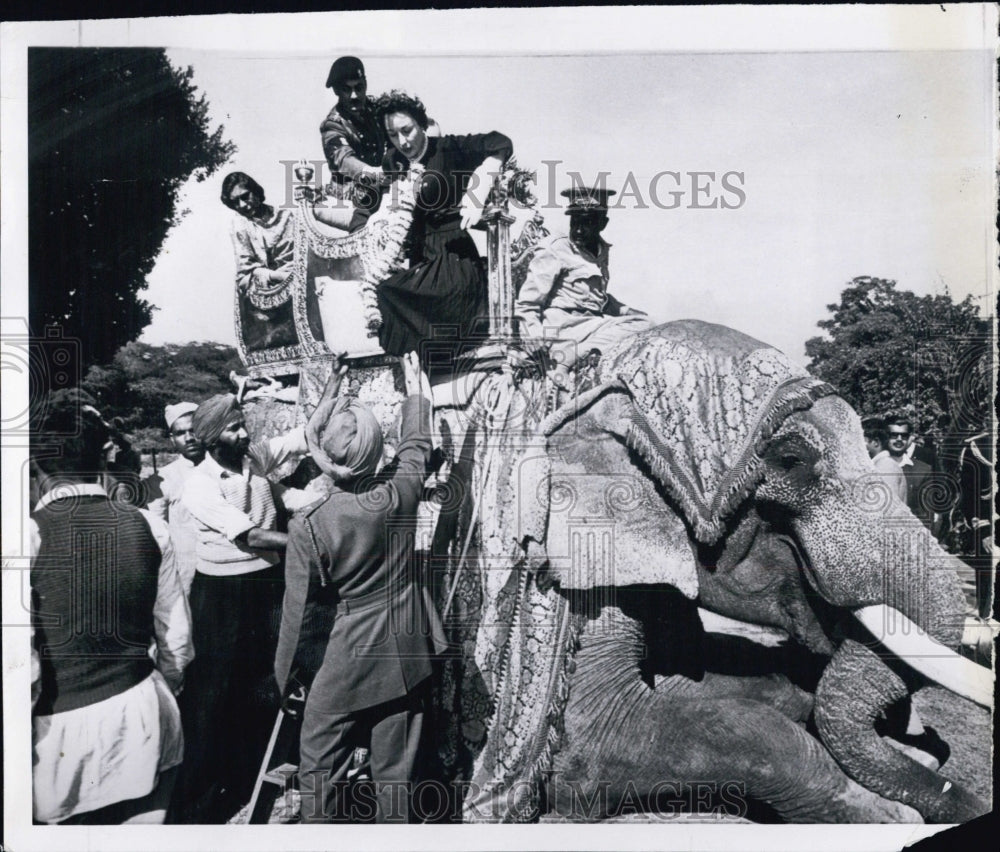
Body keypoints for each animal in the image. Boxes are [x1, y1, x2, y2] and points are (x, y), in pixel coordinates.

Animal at [432, 316, 992, 824]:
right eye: (791, 460)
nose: (966, 799)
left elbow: (722, 673)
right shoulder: (570, 575)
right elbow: (733, 730)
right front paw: (893, 815)